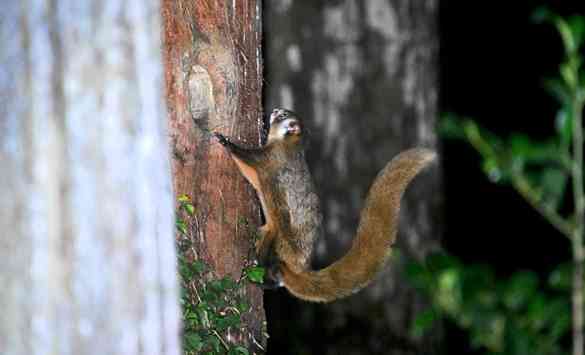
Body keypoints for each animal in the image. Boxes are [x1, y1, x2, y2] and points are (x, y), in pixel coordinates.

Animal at [213, 108, 434, 304]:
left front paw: (225, 141)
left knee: (274, 272)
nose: (274, 109)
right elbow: (250, 174)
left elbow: (245, 157)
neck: (287, 144)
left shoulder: (268, 159)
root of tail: (300, 268)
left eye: (284, 115)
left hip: (277, 241)